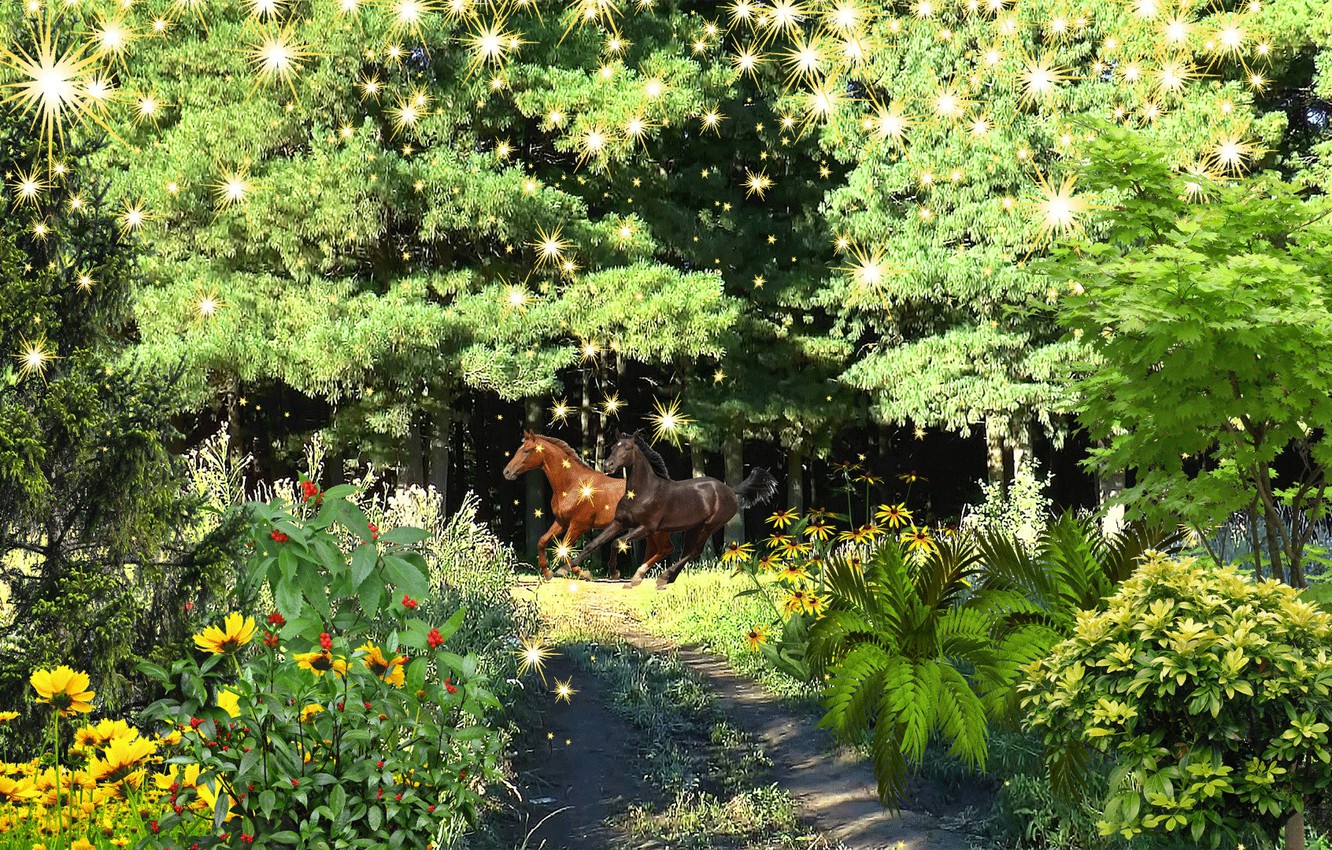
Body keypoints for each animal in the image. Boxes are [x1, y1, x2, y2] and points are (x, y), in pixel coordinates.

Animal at [500, 428, 676, 583]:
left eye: (526, 451)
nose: (506, 472)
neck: (572, 485)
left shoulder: (579, 525)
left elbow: (565, 548)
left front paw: (582, 573)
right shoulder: (562, 522)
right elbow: (542, 541)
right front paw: (547, 573)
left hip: (656, 530)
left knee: (665, 549)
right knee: (658, 550)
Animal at [564, 436, 777, 588]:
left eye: (627, 448)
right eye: (613, 447)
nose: (607, 465)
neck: (644, 491)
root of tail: (732, 491)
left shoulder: (646, 527)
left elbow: (617, 542)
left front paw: (615, 573)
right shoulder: (620, 522)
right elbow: (594, 544)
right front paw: (567, 568)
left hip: (709, 526)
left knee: (694, 551)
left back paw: (661, 578)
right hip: (693, 527)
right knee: (685, 551)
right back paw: (662, 579)